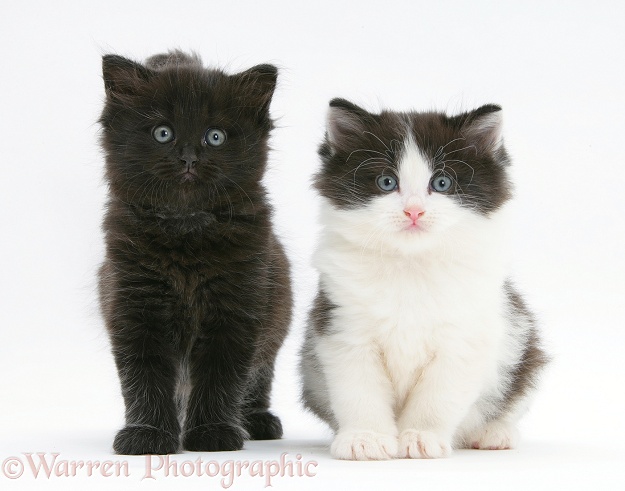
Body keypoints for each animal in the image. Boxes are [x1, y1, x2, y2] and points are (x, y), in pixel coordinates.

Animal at [98, 52, 292, 456]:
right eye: (163, 133)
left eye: (214, 137)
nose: (188, 157)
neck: (186, 228)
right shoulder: (134, 306)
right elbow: (144, 377)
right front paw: (148, 434)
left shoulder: (237, 307)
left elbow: (222, 376)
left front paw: (212, 432)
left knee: (259, 377)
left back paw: (257, 420)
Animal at [300, 99, 548, 462]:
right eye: (387, 182)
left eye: (441, 183)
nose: (414, 211)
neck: (411, 264)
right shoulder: (344, 330)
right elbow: (358, 391)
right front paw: (366, 437)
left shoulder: (466, 337)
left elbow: (438, 397)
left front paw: (420, 436)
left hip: (525, 350)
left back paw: (495, 432)